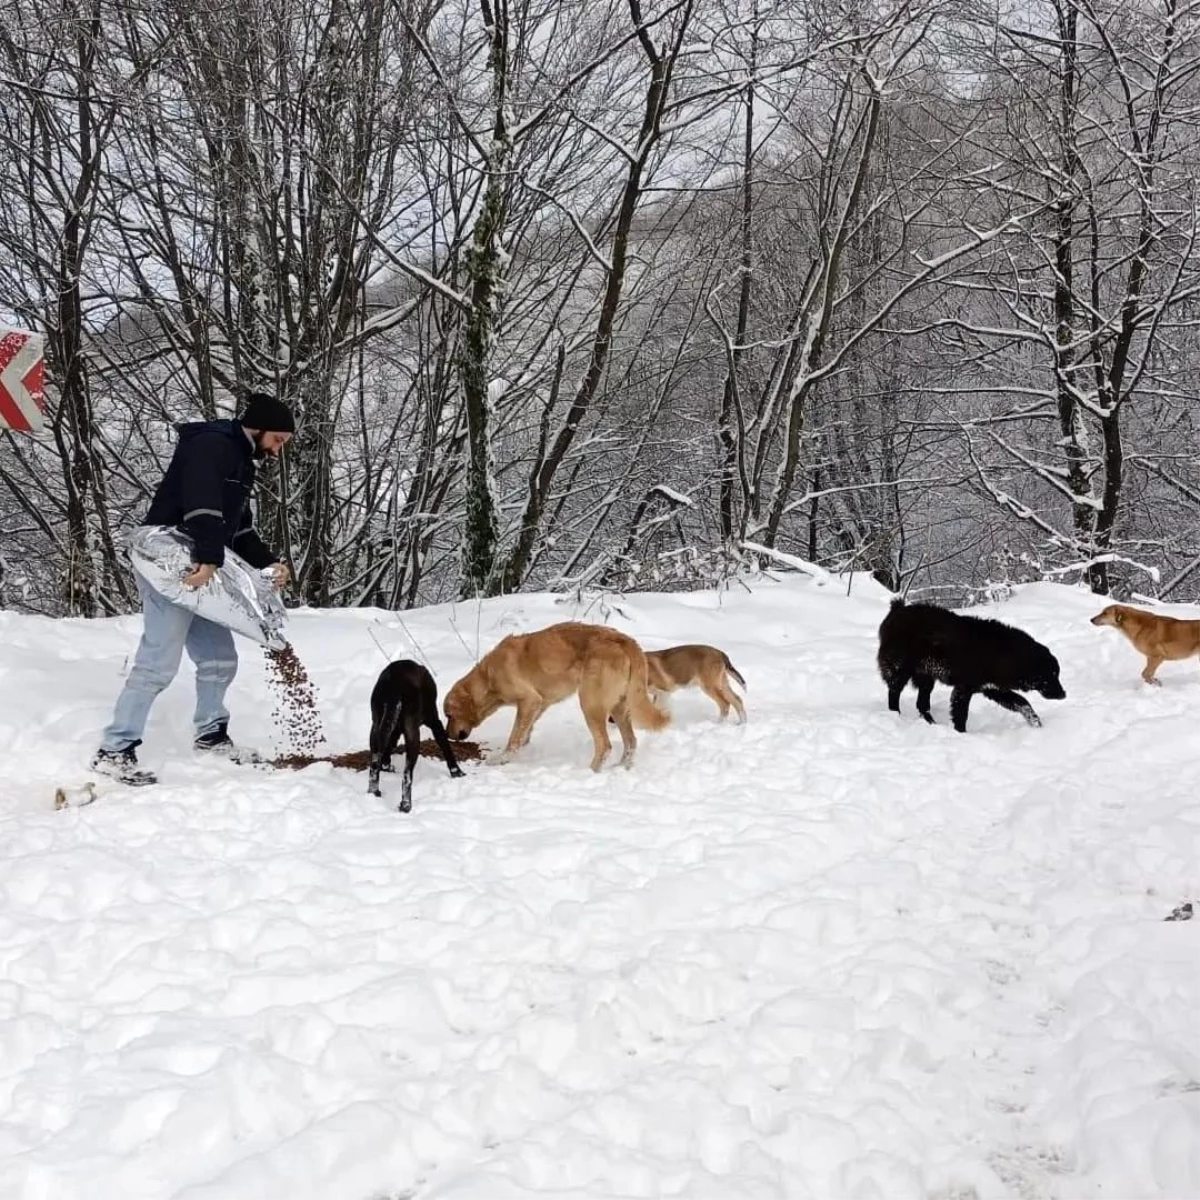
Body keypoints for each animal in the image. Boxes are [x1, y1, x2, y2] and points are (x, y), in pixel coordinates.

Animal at [364, 662, 463, 811]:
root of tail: (393, 686)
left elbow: (387, 750)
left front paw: (386, 766)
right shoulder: (435, 722)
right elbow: (445, 746)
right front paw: (457, 772)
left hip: (376, 727)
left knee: (374, 766)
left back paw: (374, 793)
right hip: (413, 734)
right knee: (407, 776)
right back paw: (406, 805)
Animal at [444, 624, 672, 772]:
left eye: (448, 715)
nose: (447, 735)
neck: (487, 678)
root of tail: (625, 640)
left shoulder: (529, 700)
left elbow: (514, 738)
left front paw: (501, 759)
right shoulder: (539, 705)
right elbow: (524, 733)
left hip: (590, 704)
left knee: (605, 746)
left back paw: (589, 773)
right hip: (619, 707)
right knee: (631, 742)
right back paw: (621, 768)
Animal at [878, 597, 1065, 729]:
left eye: (1056, 674)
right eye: (1050, 675)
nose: (1064, 694)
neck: (1004, 653)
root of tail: (897, 610)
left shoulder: (994, 689)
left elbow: (1023, 703)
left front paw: (1037, 724)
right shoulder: (963, 689)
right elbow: (961, 716)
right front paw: (960, 734)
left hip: (926, 678)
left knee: (922, 705)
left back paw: (932, 724)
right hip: (901, 671)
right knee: (894, 694)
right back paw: (896, 716)